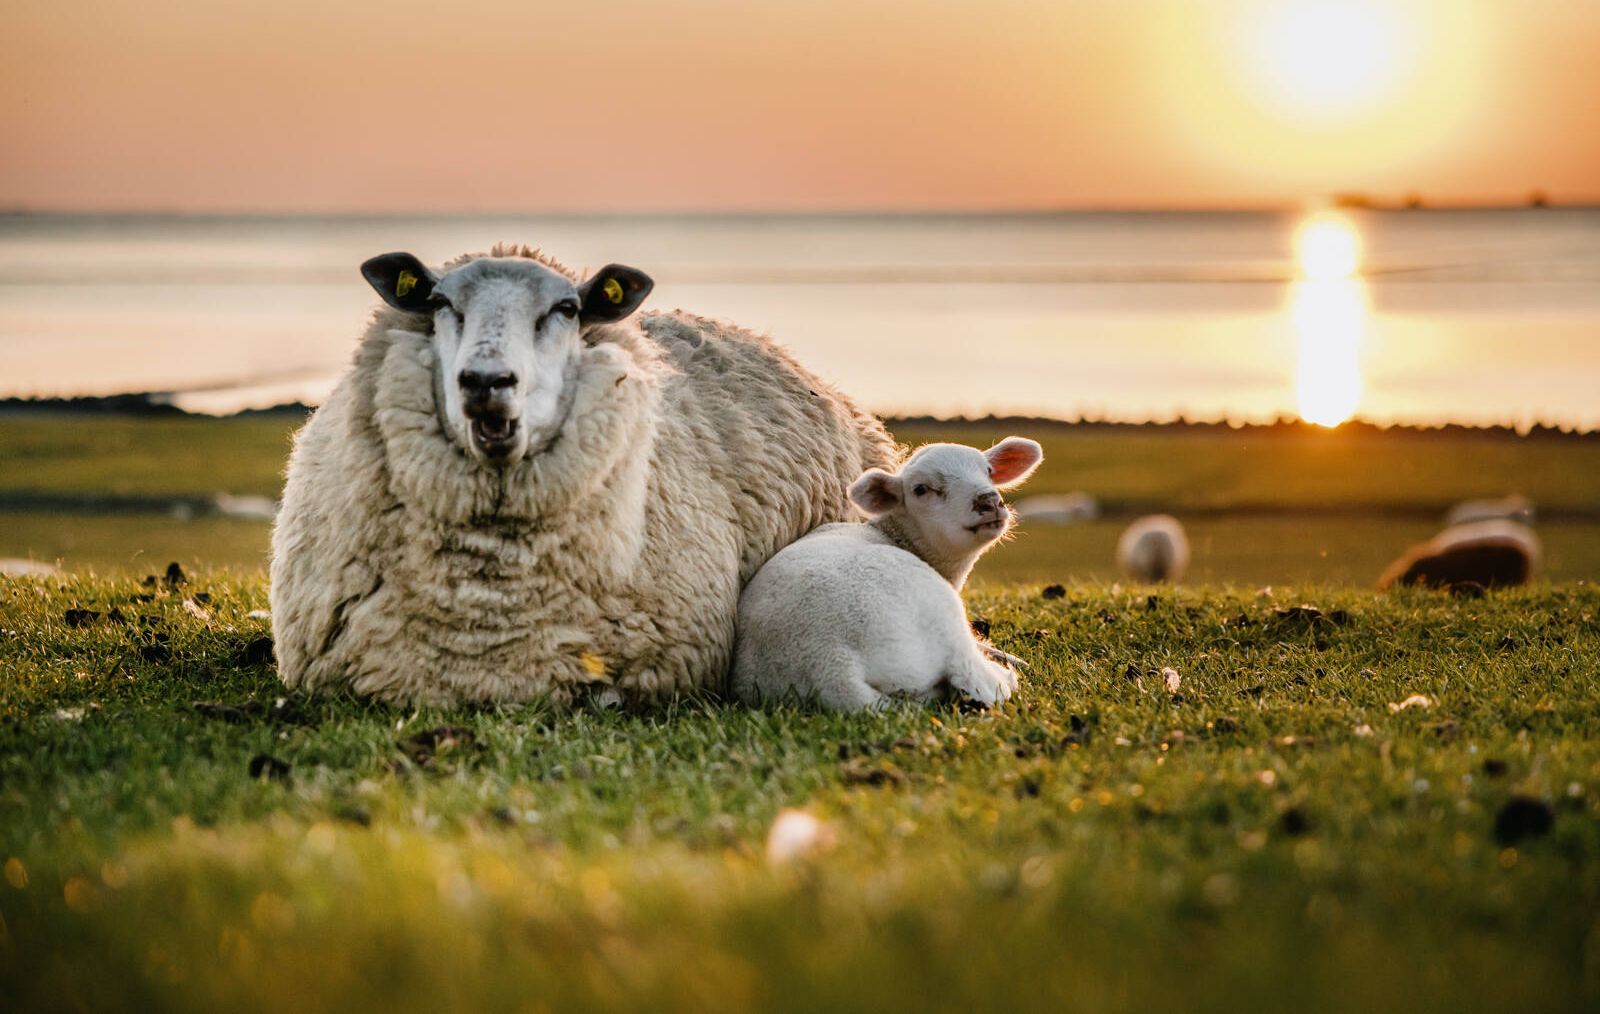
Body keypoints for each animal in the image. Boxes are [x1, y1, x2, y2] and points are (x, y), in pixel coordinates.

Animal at [731, 437, 1043, 712]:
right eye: (921, 489)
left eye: (988, 471)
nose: (989, 501)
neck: (895, 535)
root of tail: (832, 668)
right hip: (942, 621)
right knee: (979, 681)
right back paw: (1005, 673)